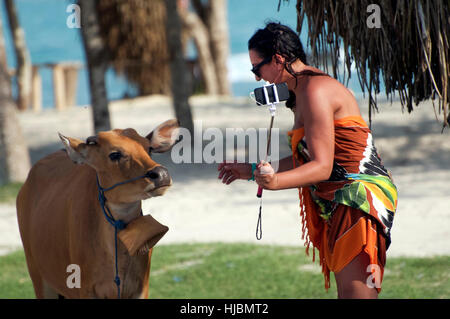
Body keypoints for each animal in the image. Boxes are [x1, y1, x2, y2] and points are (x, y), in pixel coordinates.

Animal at [17, 119, 179, 298]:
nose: (161, 175)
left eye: (148, 148)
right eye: (114, 154)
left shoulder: (141, 288)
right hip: (39, 277)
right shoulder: (86, 289)